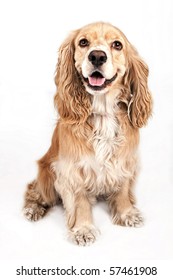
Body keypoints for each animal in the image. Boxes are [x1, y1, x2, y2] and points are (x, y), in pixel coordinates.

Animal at [23, 21, 152, 245]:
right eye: (83, 42)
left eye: (117, 45)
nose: (97, 56)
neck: (103, 112)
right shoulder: (73, 170)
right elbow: (80, 201)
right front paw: (83, 229)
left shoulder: (125, 161)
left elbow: (122, 189)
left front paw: (126, 213)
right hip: (46, 174)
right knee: (34, 190)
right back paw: (34, 208)